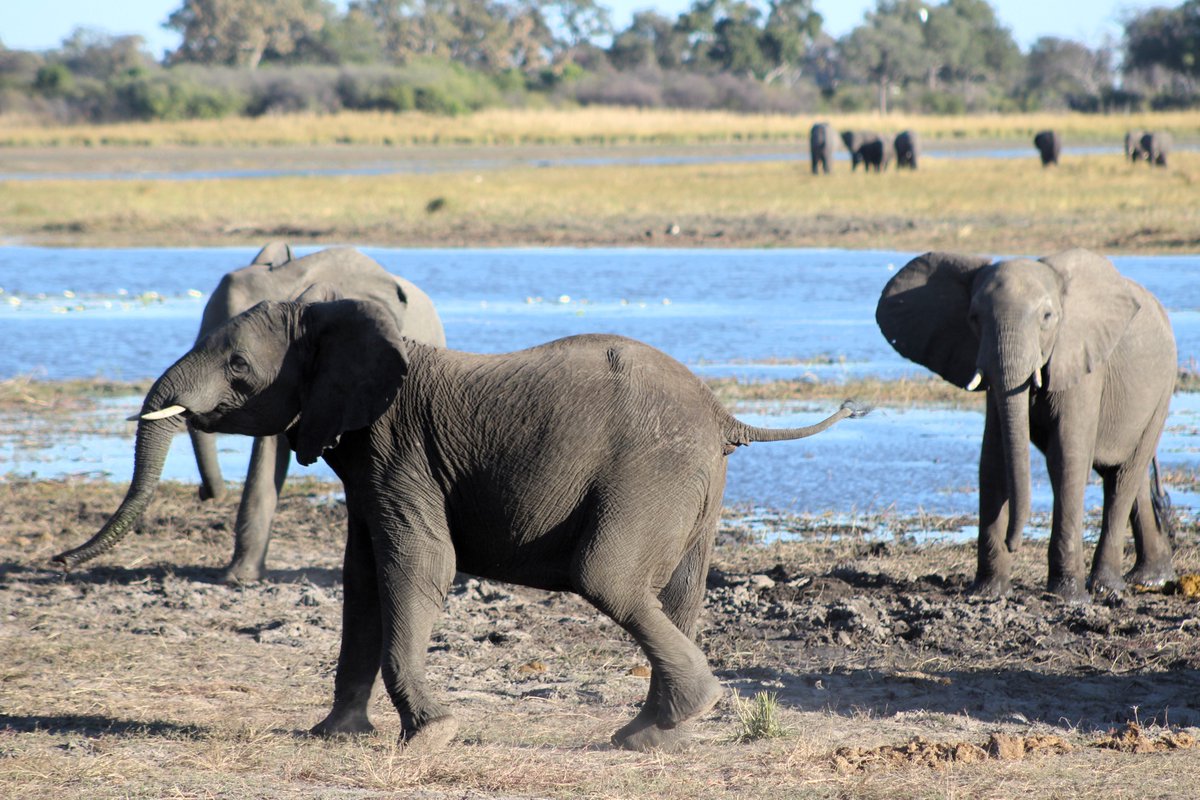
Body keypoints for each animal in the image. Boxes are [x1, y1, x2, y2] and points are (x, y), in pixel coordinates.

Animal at [53, 297, 864, 751]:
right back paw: (655, 737)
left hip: (651, 473)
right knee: (676, 595)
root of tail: (725, 416)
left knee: (607, 579)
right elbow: (363, 582)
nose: (62, 562)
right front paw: (335, 737)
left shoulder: (398, 449)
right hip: (694, 490)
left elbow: (418, 567)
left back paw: (667, 724)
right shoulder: (370, 460)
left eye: (238, 370)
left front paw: (431, 738)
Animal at [876, 249, 1176, 603]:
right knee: (1129, 476)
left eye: (1047, 317)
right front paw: (988, 593)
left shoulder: (1081, 360)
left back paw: (1106, 587)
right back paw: (1150, 578)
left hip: (1163, 389)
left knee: (1125, 477)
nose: (1013, 543)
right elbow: (994, 459)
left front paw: (1067, 596)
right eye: (974, 318)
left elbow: (1067, 457)